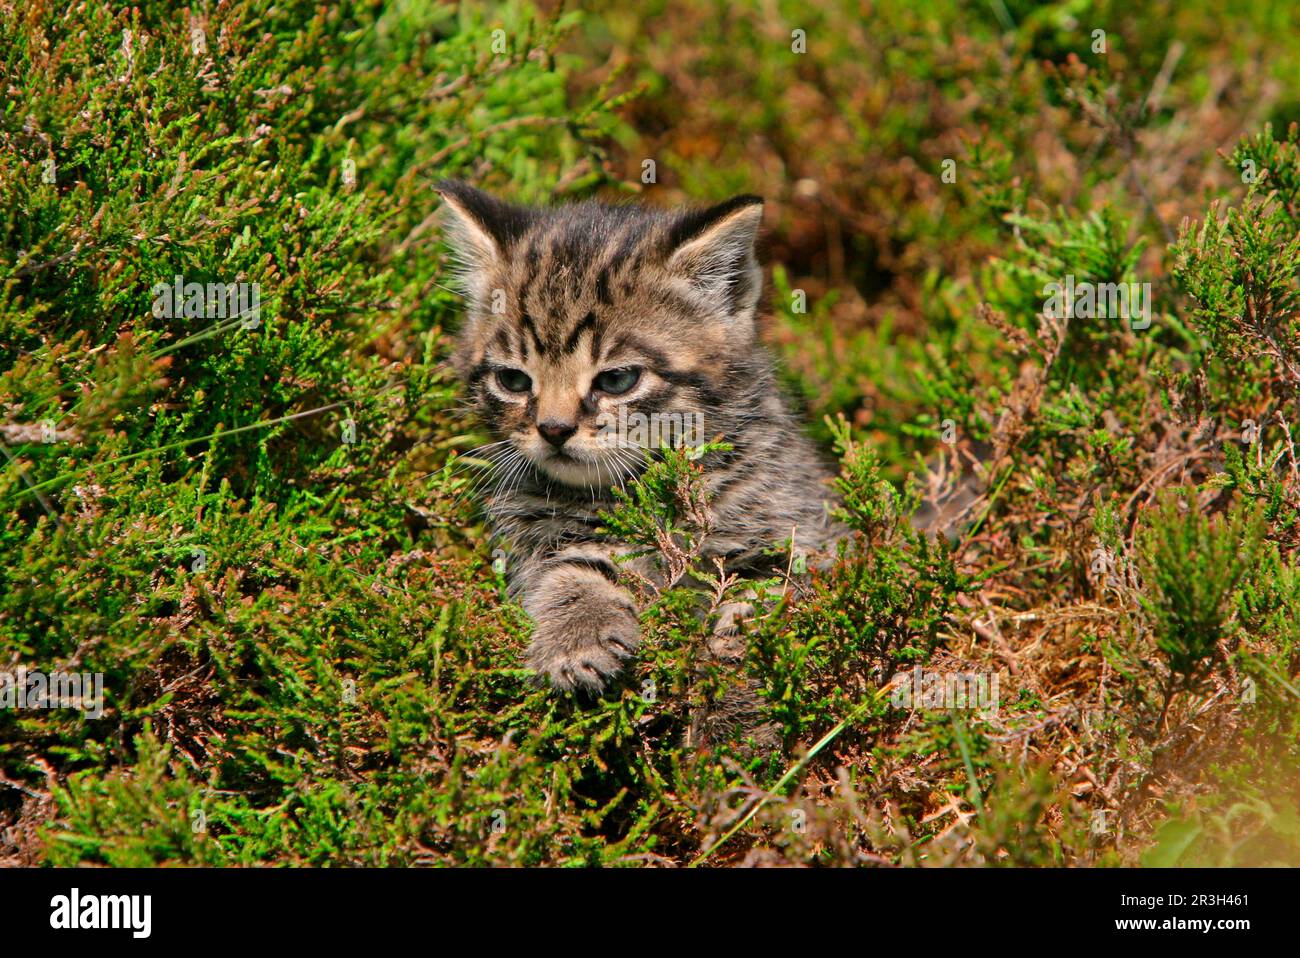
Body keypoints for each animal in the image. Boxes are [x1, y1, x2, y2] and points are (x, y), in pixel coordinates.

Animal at [441, 179, 837, 691]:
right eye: (513, 380)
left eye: (616, 380)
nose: (553, 429)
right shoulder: (536, 531)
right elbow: (572, 567)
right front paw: (578, 632)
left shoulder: (800, 517)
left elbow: (783, 574)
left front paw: (745, 626)